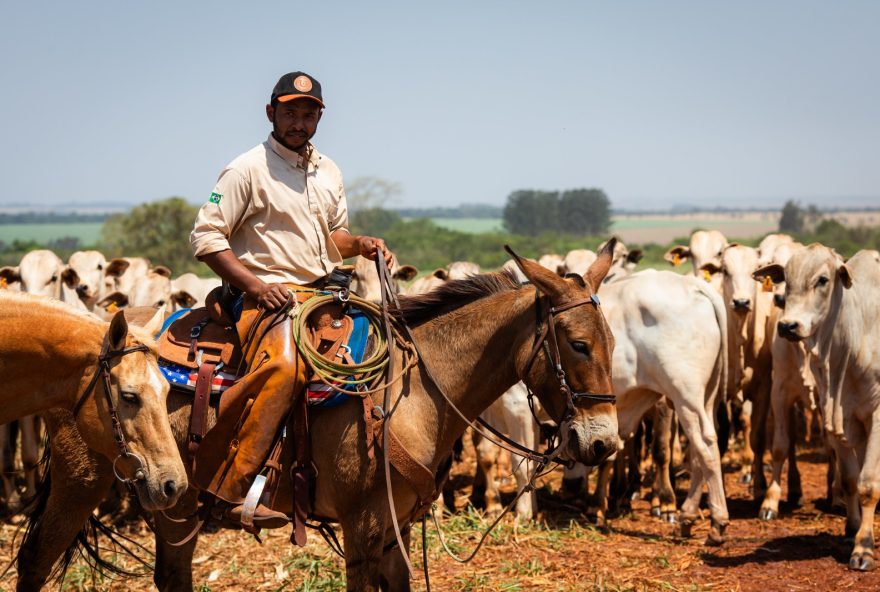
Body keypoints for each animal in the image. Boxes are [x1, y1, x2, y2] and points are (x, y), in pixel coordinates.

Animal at [756, 244, 880, 568]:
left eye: (823, 280)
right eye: (785, 278)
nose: (788, 325)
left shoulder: (877, 416)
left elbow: (869, 484)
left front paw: (864, 547)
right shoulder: (842, 417)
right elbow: (851, 480)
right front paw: (852, 530)